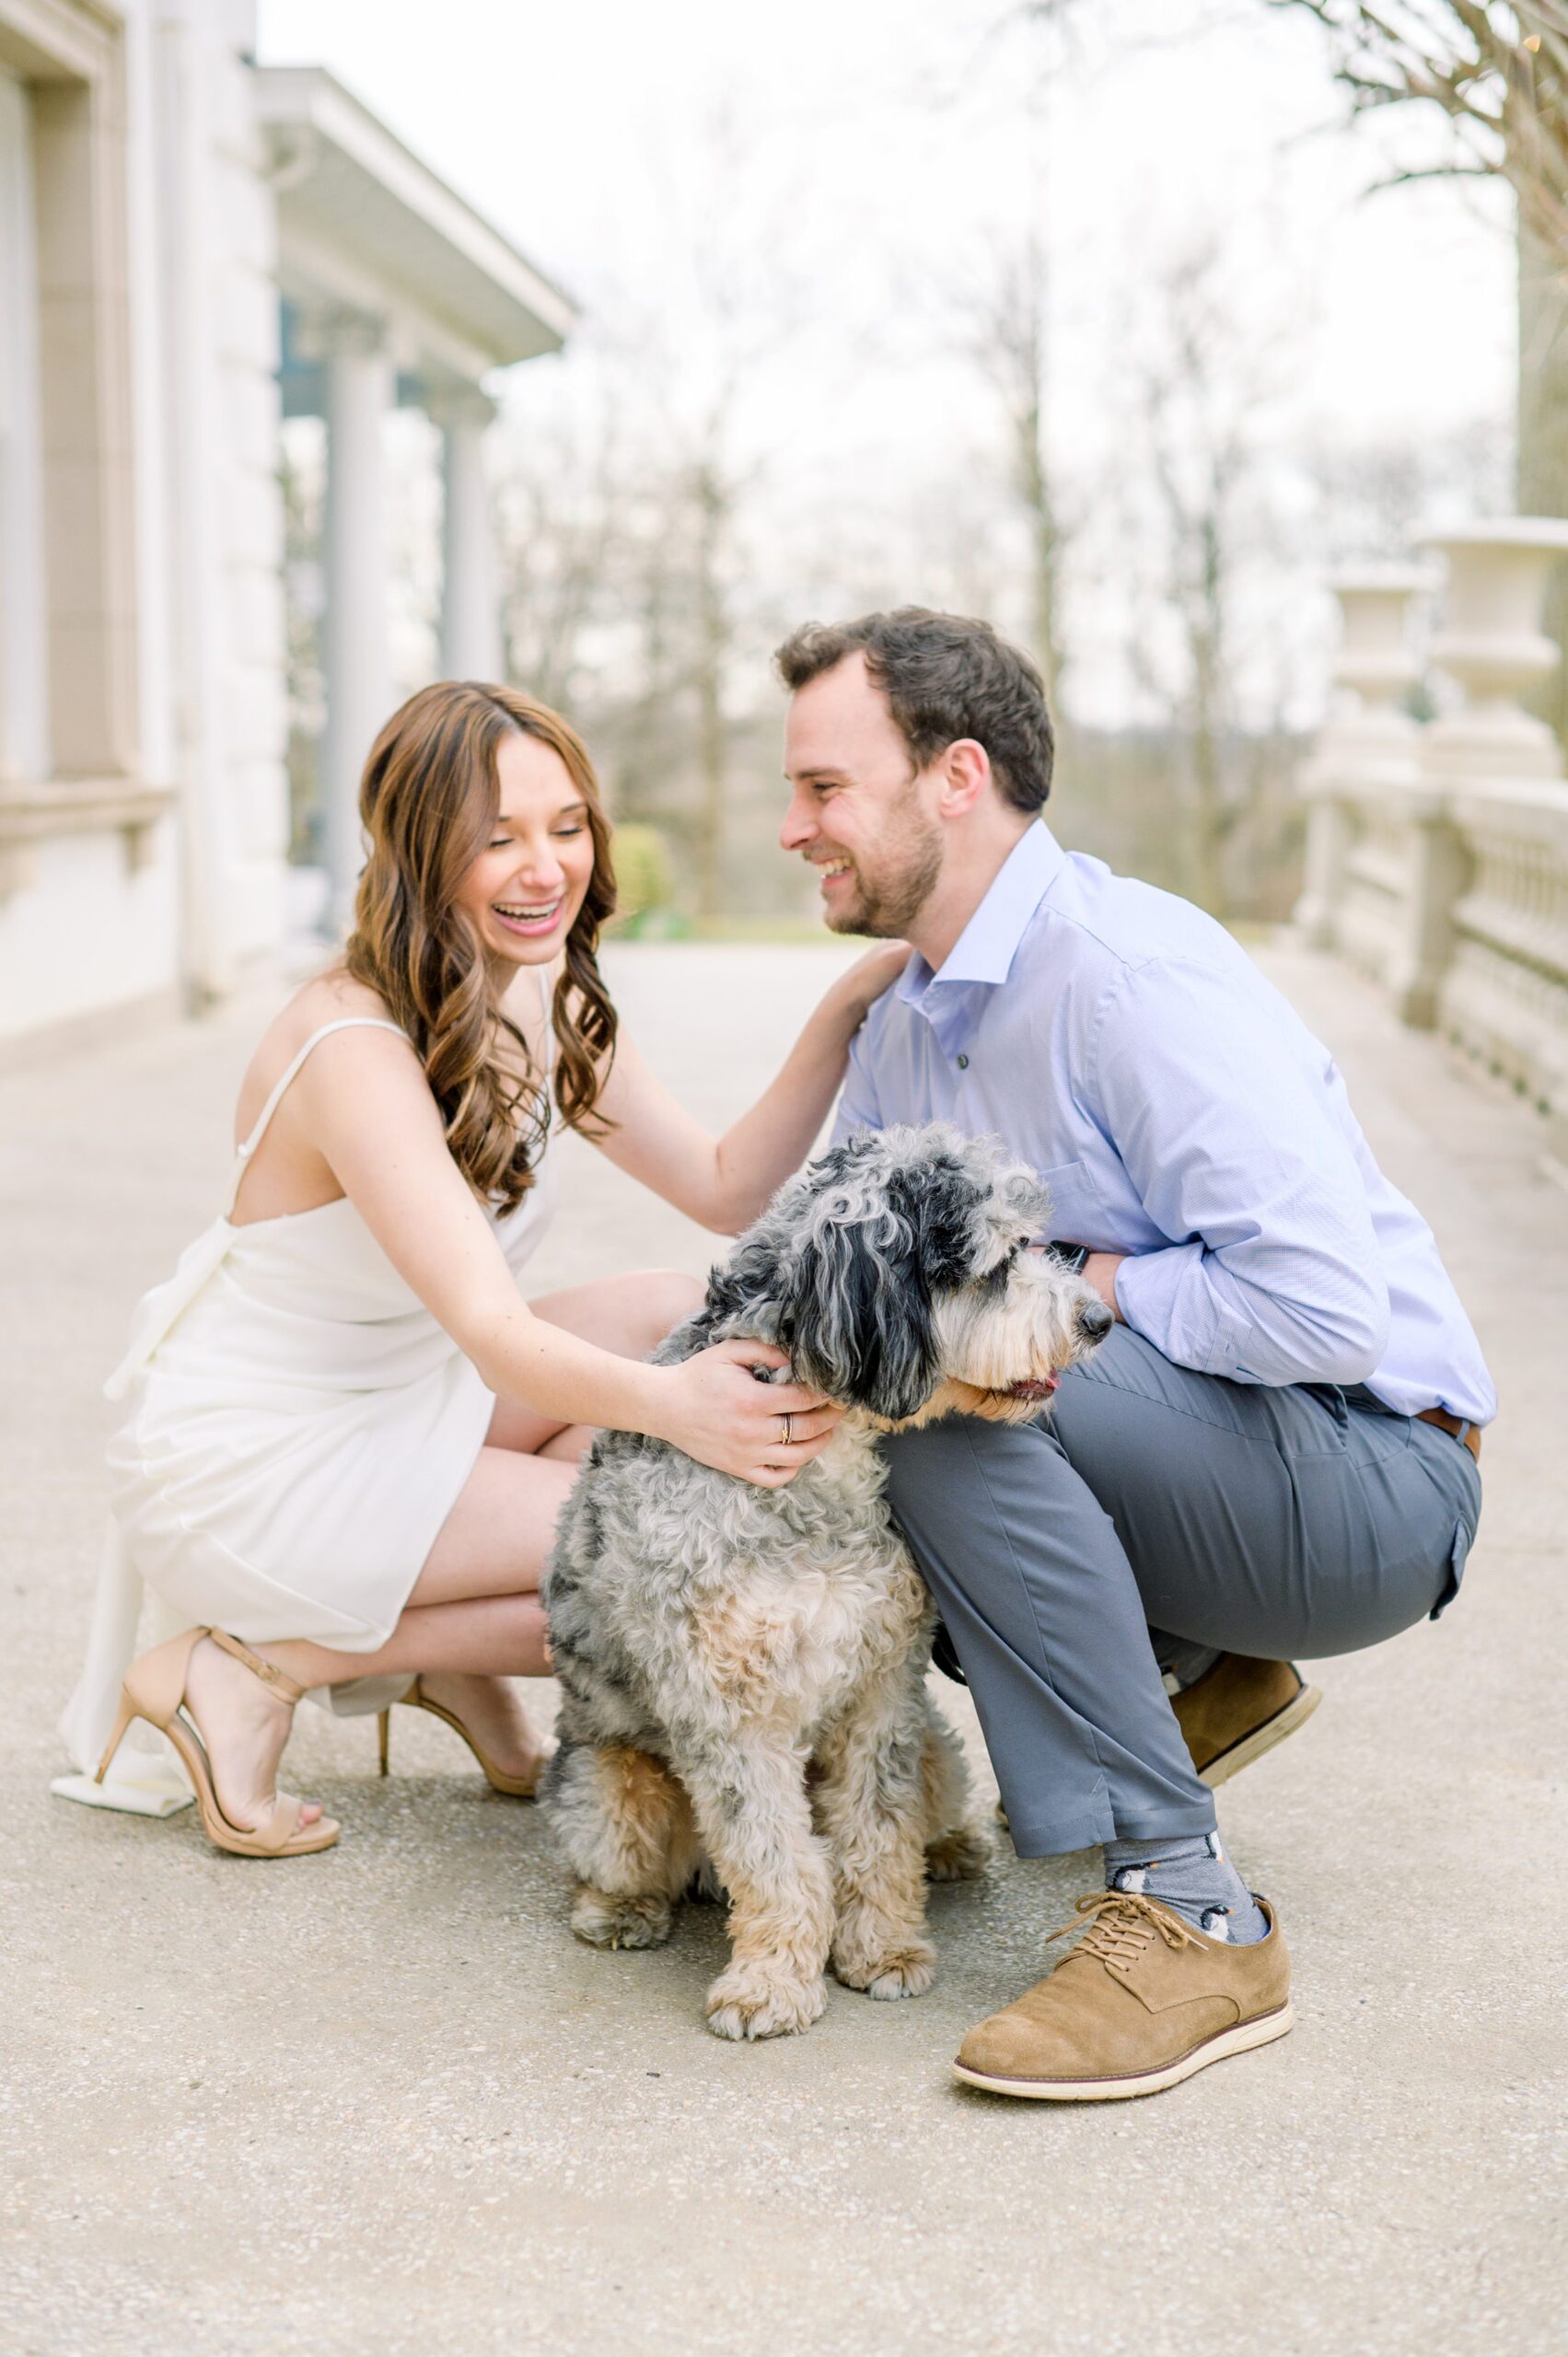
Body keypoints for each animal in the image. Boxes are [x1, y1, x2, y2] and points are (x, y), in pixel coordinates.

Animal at [537, 1121, 1112, 2046]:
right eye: (993, 1261)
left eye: (1035, 1242)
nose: (1098, 1319)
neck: (820, 1473)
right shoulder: (728, 1716)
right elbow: (775, 1857)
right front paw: (771, 1982)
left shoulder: (881, 1691)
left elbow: (875, 1832)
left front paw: (882, 1949)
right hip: (612, 1783)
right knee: (628, 1857)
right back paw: (621, 1910)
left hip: (937, 1751)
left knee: (919, 1810)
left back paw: (948, 1849)